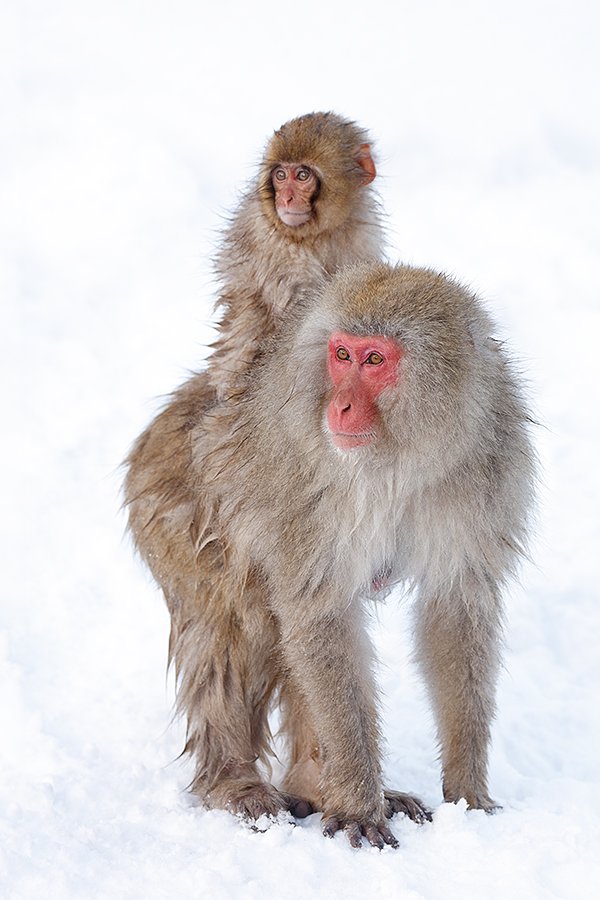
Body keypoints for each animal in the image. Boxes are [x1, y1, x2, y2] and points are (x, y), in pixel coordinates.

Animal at [125, 261, 535, 848]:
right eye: (341, 355)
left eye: (375, 360)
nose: (338, 405)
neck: (401, 457)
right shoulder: (304, 498)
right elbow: (320, 617)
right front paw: (361, 809)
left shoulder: (489, 470)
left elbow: (454, 611)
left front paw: (467, 792)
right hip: (169, 511)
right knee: (231, 629)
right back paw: (235, 783)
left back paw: (316, 785)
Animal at [207, 110, 384, 401]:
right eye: (280, 175)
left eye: (302, 175)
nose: (286, 198)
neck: (315, 234)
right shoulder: (273, 247)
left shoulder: (360, 233)